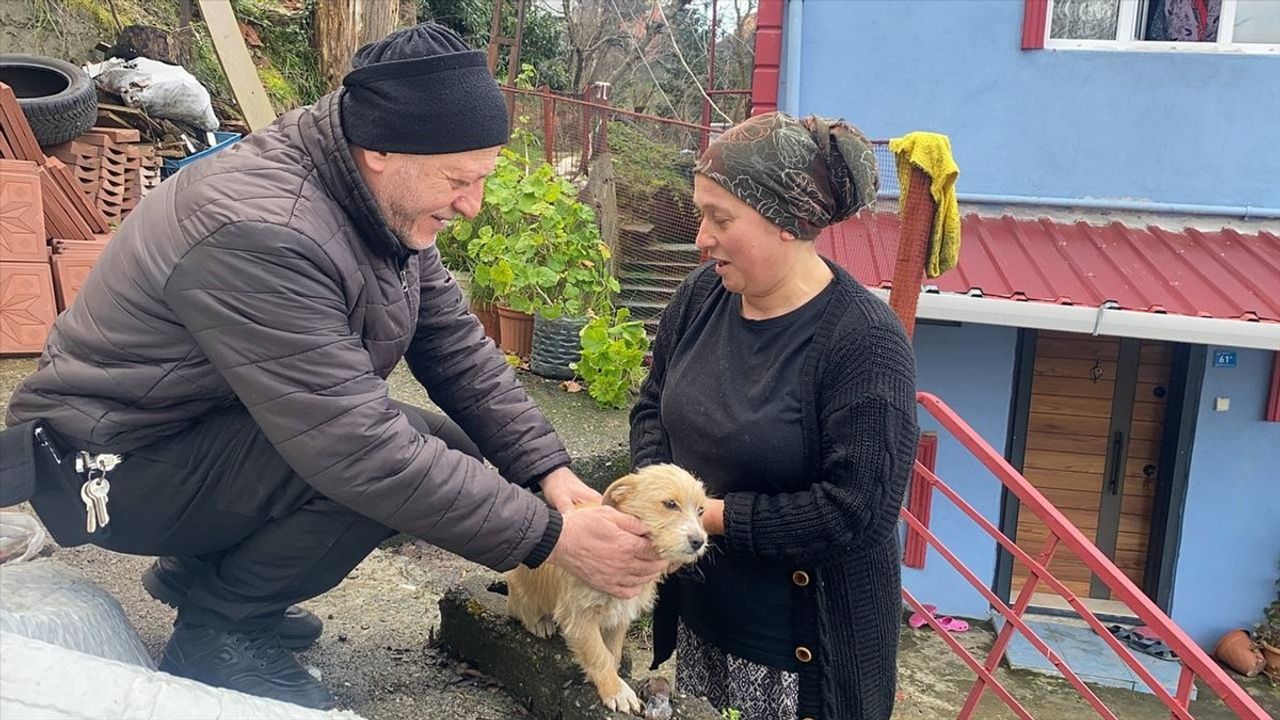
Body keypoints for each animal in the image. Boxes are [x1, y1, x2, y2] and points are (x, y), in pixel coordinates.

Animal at [509, 461, 711, 712]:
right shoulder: (579, 615)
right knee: (520, 610)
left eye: (701, 510)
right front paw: (616, 691)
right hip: (521, 595)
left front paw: (613, 679)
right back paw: (539, 623)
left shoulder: (620, 614)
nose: (699, 541)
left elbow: (611, 653)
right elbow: (599, 655)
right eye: (670, 504)